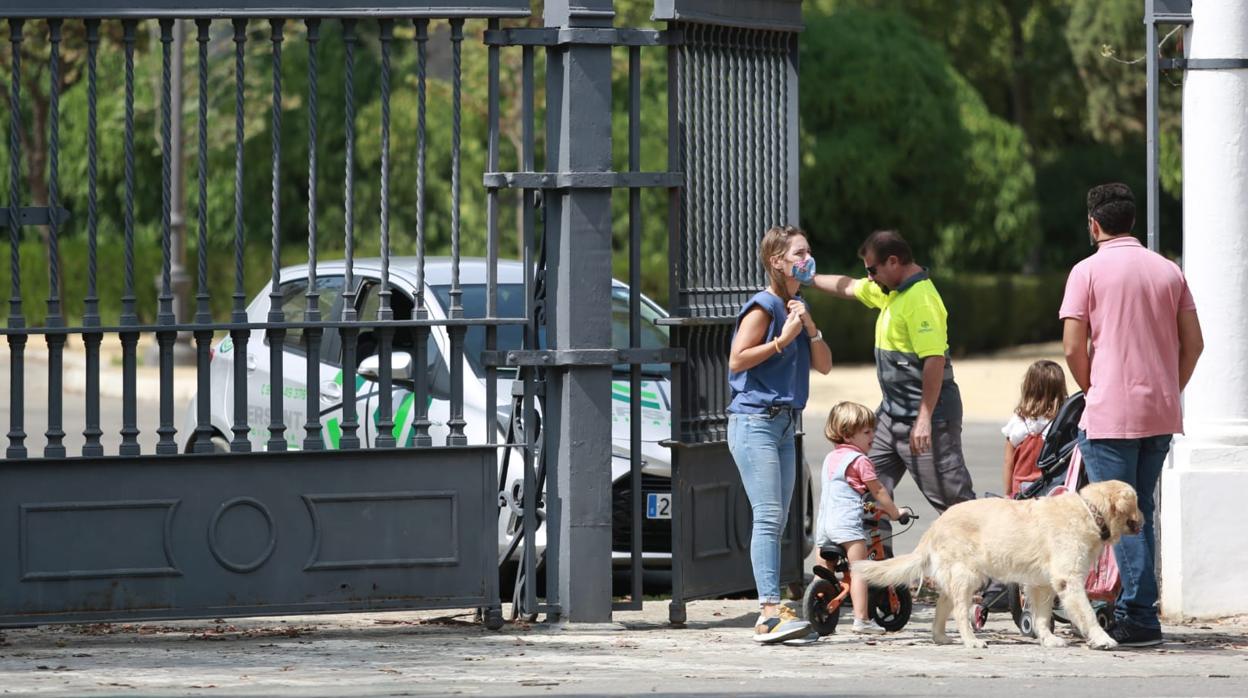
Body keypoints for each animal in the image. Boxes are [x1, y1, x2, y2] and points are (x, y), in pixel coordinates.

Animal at [858, 479, 1143, 649]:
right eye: (1137, 503)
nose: (1144, 519)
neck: (1090, 512)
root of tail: (936, 523)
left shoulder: (1041, 585)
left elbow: (1042, 616)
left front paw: (1048, 639)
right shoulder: (1068, 580)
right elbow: (1087, 614)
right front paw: (1102, 638)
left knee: (942, 605)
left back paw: (941, 637)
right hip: (967, 576)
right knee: (960, 612)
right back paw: (971, 641)